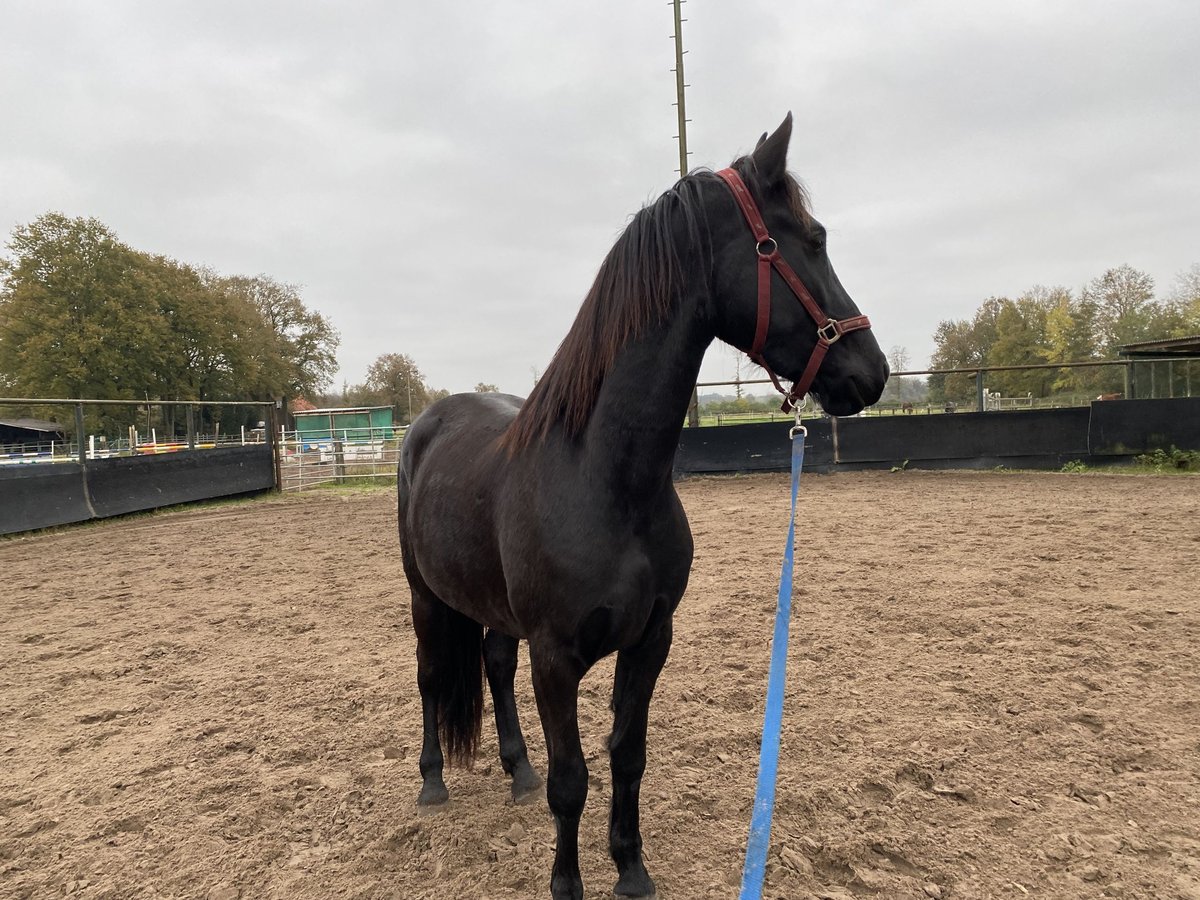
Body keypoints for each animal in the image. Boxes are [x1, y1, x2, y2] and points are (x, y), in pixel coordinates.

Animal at [398, 114, 888, 900]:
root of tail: (426, 425)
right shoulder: (557, 659)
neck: (605, 479)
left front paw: (631, 870)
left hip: (492, 610)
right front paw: (567, 885)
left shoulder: (651, 639)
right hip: (423, 597)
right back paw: (433, 783)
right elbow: (573, 780)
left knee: (494, 666)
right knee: (430, 677)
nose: (869, 372)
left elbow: (628, 755)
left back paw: (516, 770)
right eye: (811, 239)